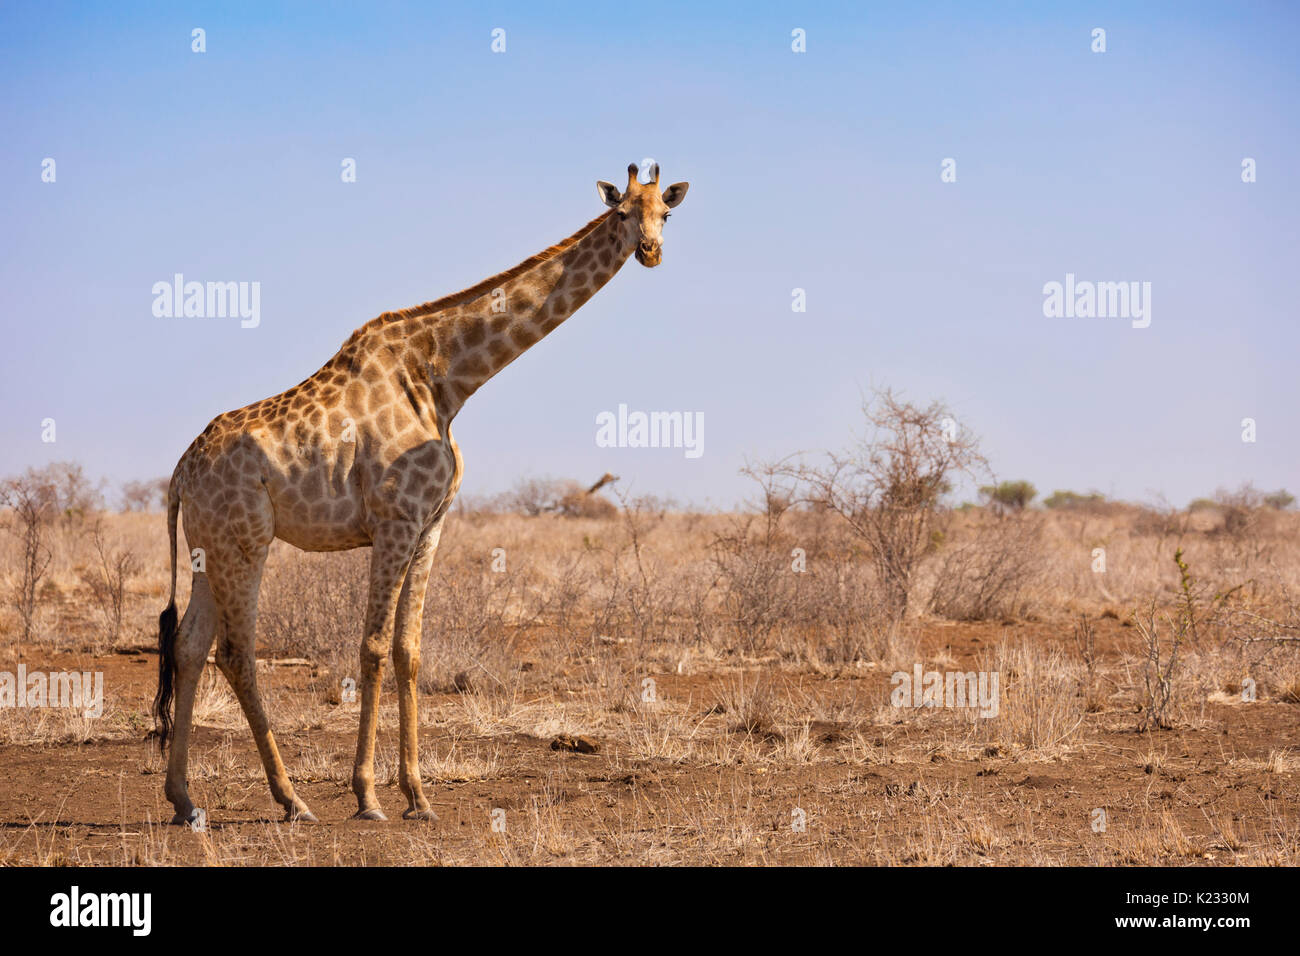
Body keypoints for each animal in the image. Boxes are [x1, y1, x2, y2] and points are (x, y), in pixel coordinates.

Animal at [153, 162, 691, 822]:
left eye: (665, 213)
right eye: (621, 212)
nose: (650, 251)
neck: (447, 378)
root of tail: (181, 471)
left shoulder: (432, 523)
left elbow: (409, 650)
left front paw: (418, 795)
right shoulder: (395, 520)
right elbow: (373, 647)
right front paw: (367, 795)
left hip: (209, 548)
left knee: (188, 646)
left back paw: (185, 801)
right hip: (245, 542)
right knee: (234, 651)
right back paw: (292, 800)